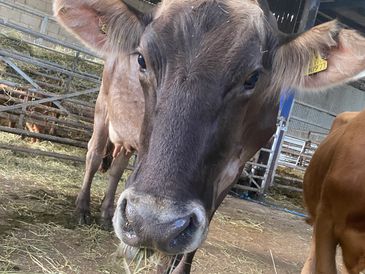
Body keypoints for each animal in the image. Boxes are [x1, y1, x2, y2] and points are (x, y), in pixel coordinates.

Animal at [53, 0, 364, 272]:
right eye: (141, 59)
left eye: (253, 77)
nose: (153, 224)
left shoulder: (233, 167)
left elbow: (203, 224)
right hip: (103, 108)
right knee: (94, 155)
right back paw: (82, 210)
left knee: (117, 166)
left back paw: (106, 214)